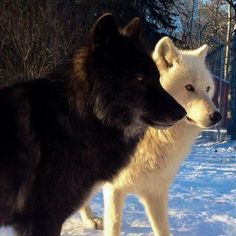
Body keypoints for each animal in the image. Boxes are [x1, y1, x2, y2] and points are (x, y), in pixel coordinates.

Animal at [79, 37, 221, 236]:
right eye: (189, 87)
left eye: (207, 88)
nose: (217, 116)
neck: (153, 135)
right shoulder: (114, 189)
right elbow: (113, 225)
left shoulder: (156, 191)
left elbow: (162, 229)